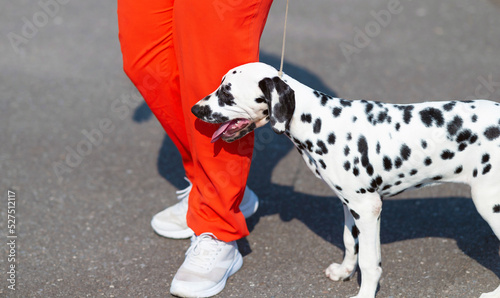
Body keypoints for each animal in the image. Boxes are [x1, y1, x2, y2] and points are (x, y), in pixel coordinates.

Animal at [190, 61, 500, 296]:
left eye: (227, 93)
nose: (194, 110)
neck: (321, 122)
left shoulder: (368, 207)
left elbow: (370, 261)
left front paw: (364, 293)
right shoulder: (351, 205)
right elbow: (351, 243)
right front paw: (344, 271)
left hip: (489, 206)